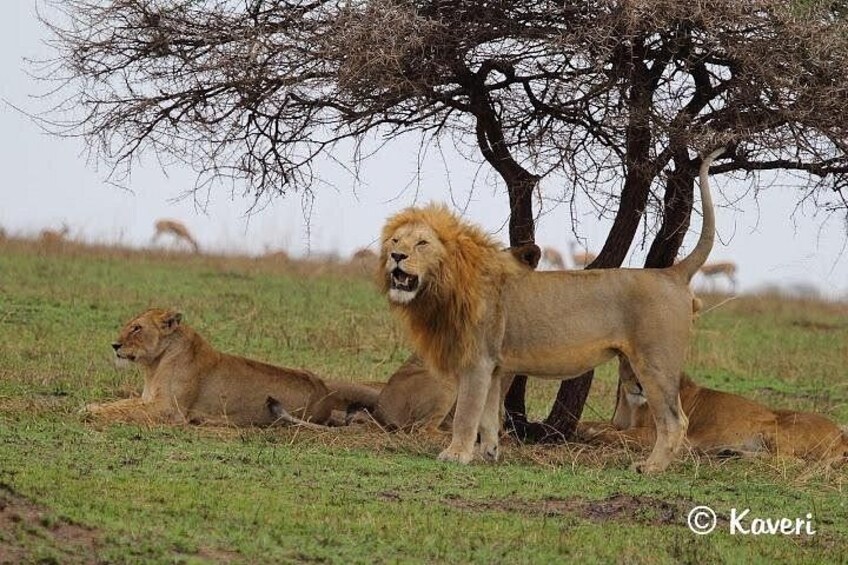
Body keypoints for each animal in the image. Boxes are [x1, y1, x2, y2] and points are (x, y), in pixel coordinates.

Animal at [84, 308, 378, 427]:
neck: (154, 364)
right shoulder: (149, 400)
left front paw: (89, 413)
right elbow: (120, 404)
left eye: (137, 328)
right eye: (129, 325)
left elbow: (125, 410)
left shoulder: (169, 410)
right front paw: (91, 407)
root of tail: (325, 392)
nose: (114, 345)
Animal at [379, 150, 724, 474]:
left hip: (655, 362)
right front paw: (488, 453)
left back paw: (651, 467)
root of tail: (671, 272)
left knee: (675, 421)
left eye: (422, 243)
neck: (445, 282)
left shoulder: (477, 361)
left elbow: (467, 412)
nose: (396, 256)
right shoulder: (495, 366)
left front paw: (456, 455)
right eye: (395, 240)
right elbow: (488, 415)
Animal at [578, 373, 848, 463]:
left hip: (774, 425)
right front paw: (583, 428)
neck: (633, 404)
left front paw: (593, 435)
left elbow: (619, 435)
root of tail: (841, 434)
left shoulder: (667, 436)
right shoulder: (618, 422)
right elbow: (597, 425)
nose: (641, 385)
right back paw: (729, 453)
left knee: (791, 460)